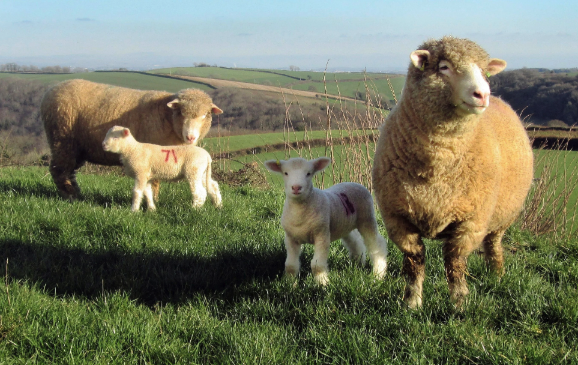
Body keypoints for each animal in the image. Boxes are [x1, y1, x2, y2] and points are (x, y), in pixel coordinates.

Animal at [41, 78, 222, 200]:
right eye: (181, 113)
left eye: (205, 115)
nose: (191, 137)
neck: (167, 117)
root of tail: (51, 90)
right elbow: (154, 182)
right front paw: (154, 200)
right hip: (62, 139)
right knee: (58, 169)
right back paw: (70, 195)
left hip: (75, 147)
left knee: (68, 170)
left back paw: (77, 193)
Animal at [264, 156, 388, 284]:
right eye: (286, 173)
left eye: (308, 173)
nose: (296, 187)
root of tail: (354, 183)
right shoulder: (290, 238)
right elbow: (290, 265)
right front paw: (289, 283)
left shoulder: (322, 235)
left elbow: (317, 265)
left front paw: (323, 283)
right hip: (344, 225)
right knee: (355, 242)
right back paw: (358, 263)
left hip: (366, 219)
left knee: (377, 245)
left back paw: (378, 273)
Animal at [368, 36, 532, 308]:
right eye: (444, 67)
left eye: (485, 72)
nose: (482, 94)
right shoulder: (397, 218)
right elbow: (414, 261)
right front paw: (412, 303)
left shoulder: (471, 221)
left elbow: (455, 263)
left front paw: (459, 304)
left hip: (502, 217)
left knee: (493, 244)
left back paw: (497, 275)